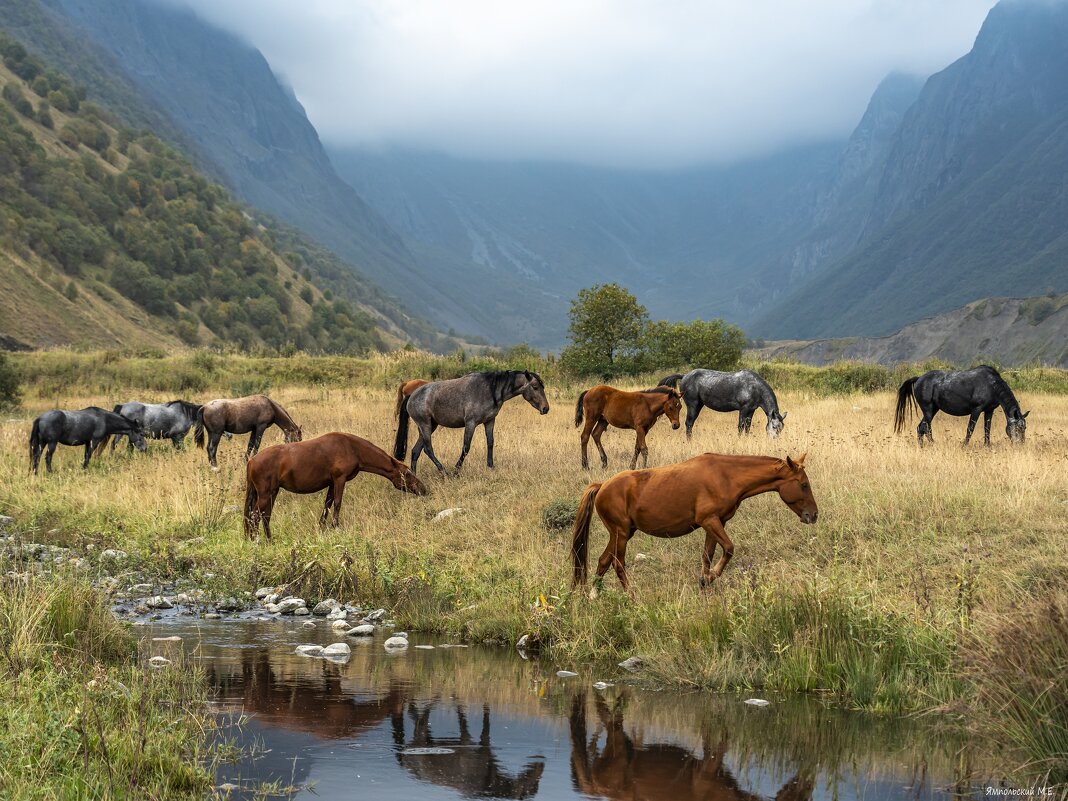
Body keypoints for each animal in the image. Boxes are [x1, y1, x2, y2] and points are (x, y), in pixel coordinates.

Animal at [244, 433, 427, 540]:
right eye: (407, 474)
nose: (423, 489)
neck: (352, 447)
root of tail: (252, 461)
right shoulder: (340, 480)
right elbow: (337, 504)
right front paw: (336, 527)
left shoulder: (332, 484)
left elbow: (327, 505)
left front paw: (321, 529)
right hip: (265, 494)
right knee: (254, 516)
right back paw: (256, 541)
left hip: (272, 493)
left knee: (264, 516)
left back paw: (269, 540)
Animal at [397, 371, 555, 476]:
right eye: (535, 387)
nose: (545, 408)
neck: (489, 390)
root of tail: (411, 395)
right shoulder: (471, 423)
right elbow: (466, 447)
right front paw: (456, 470)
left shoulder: (490, 421)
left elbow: (490, 442)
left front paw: (491, 466)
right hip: (425, 425)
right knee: (428, 449)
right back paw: (445, 472)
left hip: (429, 426)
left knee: (415, 451)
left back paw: (414, 478)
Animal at [576, 454, 815, 593]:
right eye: (803, 484)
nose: (813, 515)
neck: (726, 476)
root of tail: (602, 485)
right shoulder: (708, 520)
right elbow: (729, 548)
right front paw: (710, 577)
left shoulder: (717, 523)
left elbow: (708, 555)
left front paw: (705, 581)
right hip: (622, 534)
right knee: (618, 565)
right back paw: (632, 597)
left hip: (622, 533)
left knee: (603, 561)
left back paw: (593, 596)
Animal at [657, 369, 786, 440]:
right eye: (774, 426)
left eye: (781, 428)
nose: (774, 440)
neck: (754, 387)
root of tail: (684, 376)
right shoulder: (743, 409)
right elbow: (741, 427)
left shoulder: (751, 410)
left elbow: (747, 427)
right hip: (693, 405)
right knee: (689, 424)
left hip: (698, 405)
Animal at [897, 367, 1029, 448]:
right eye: (1018, 428)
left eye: (1024, 428)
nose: (1020, 444)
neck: (991, 385)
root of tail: (919, 378)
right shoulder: (976, 410)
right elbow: (970, 428)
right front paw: (964, 445)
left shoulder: (989, 410)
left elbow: (987, 429)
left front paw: (987, 446)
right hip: (928, 410)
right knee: (924, 427)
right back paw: (931, 445)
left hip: (934, 409)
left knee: (922, 428)